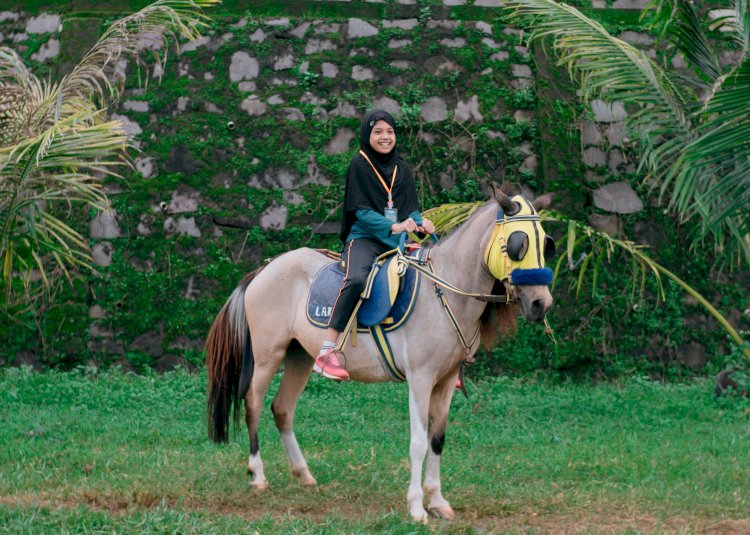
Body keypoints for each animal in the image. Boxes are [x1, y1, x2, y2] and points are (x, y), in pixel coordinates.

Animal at [209, 184, 556, 524]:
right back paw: (258, 475)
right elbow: (418, 441)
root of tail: (264, 269)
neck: (444, 290)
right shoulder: (420, 378)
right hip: (268, 355)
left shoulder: (445, 382)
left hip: (300, 357)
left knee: (282, 408)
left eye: (546, 244)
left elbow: (437, 439)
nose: (541, 303)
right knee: (253, 403)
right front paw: (416, 507)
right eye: (519, 244)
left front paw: (438, 502)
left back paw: (303, 473)